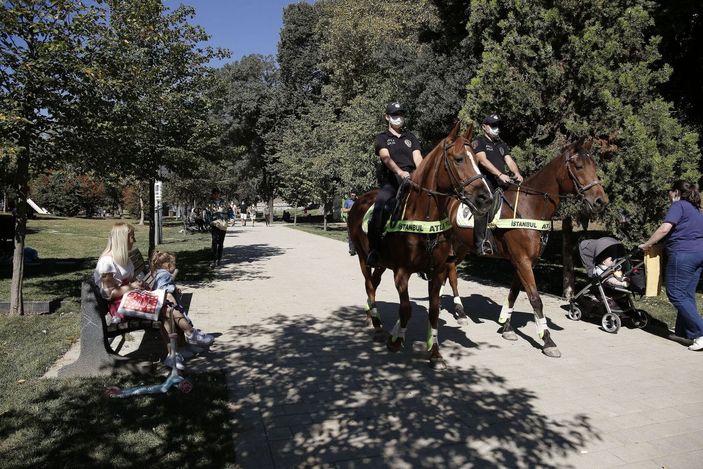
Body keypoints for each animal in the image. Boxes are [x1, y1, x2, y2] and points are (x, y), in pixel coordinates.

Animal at [350, 121, 492, 370]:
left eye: (476, 158)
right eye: (459, 159)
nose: (486, 197)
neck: (424, 215)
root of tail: (359, 201)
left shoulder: (438, 271)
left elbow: (434, 311)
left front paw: (434, 352)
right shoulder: (402, 272)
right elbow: (406, 309)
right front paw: (396, 341)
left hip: (382, 264)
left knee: (373, 286)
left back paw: (371, 316)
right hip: (362, 258)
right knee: (369, 285)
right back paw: (376, 323)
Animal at [448, 137, 608, 356]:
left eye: (594, 165)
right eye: (579, 166)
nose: (601, 200)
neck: (531, 206)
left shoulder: (524, 262)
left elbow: (514, 294)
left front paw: (507, 327)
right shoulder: (522, 261)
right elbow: (535, 299)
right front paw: (547, 340)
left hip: (463, 247)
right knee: (450, 272)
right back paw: (460, 311)